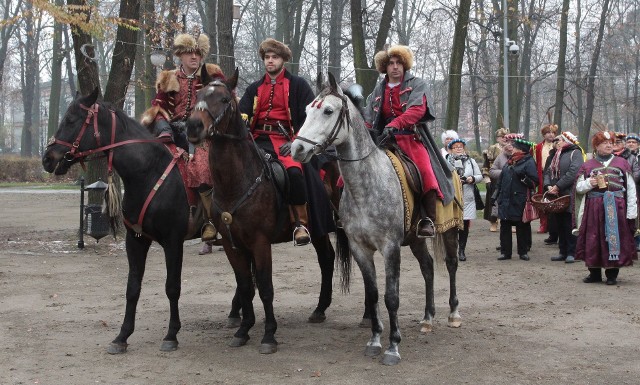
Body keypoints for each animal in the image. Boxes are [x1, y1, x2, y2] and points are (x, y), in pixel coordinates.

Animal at [186, 67, 340, 352]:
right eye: (199, 96)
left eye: (224, 99)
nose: (193, 127)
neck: (238, 181)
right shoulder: (232, 244)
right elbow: (246, 285)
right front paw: (243, 329)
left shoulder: (260, 242)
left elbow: (266, 287)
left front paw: (269, 335)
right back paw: (320, 309)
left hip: (323, 228)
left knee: (328, 259)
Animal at [290, 73, 460, 364]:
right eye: (307, 110)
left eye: (328, 111)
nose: (297, 148)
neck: (366, 186)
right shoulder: (360, 248)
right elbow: (373, 294)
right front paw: (375, 340)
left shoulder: (390, 247)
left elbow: (391, 296)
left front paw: (393, 346)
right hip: (416, 239)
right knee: (427, 267)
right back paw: (427, 317)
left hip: (450, 230)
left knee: (450, 265)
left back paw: (453, 314)